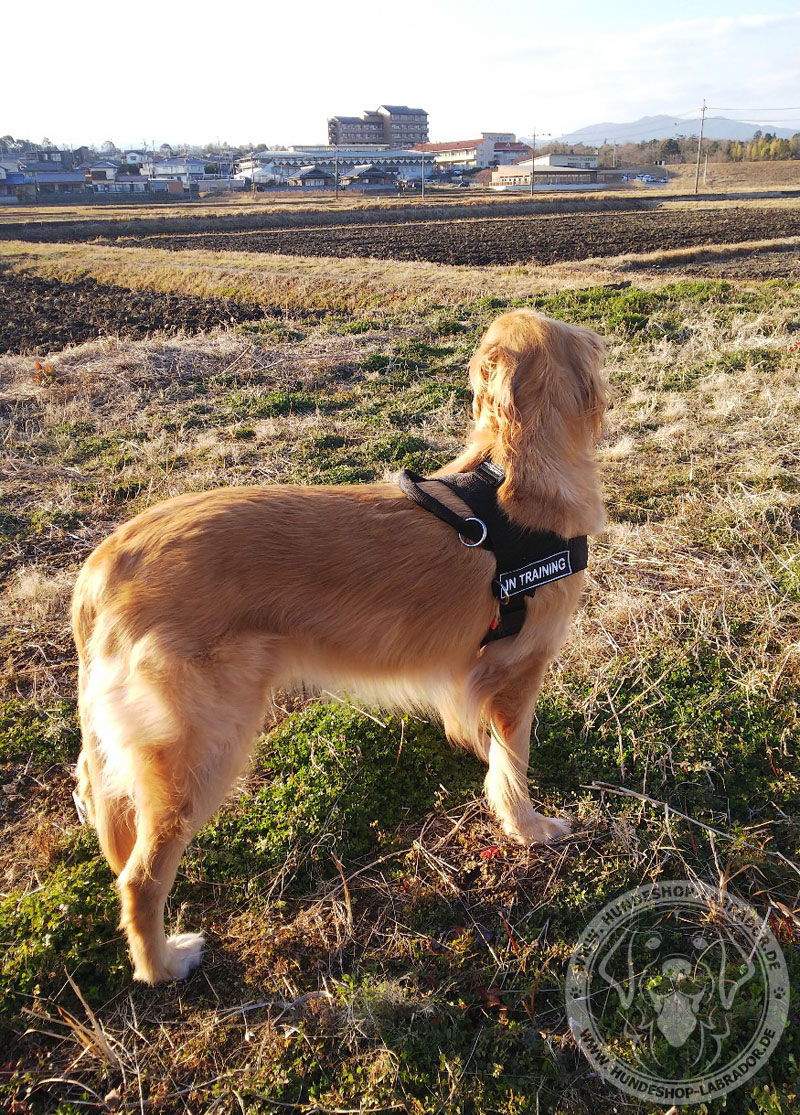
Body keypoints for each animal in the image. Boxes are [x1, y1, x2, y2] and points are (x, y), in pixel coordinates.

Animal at [73, 309, 606, 981]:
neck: (514, 470)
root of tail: (102, 567)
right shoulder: (517, 672)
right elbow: (515, 765)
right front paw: (530, 827)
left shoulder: (470, 675)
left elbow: (484, 745)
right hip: (202, 748)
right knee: (141, 877)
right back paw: (164, 963)